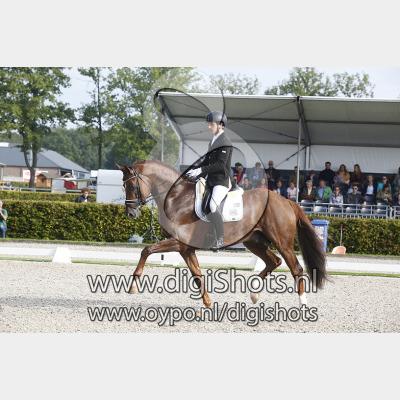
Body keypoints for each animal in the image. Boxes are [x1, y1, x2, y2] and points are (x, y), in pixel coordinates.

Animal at [118, 160, 327, 308]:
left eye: (133, 186)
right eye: (123, 186)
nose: (131, 214)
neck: (177, 197)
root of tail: (286, 201)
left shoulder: (178, 242)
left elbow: (146, 250)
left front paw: (133, 285)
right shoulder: (186, 249)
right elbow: (197, 275)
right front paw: (207, 303)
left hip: (282, 242)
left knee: (296, 268)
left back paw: (302, 304)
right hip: (255, 242)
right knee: (273, 262)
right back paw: (254, 295)